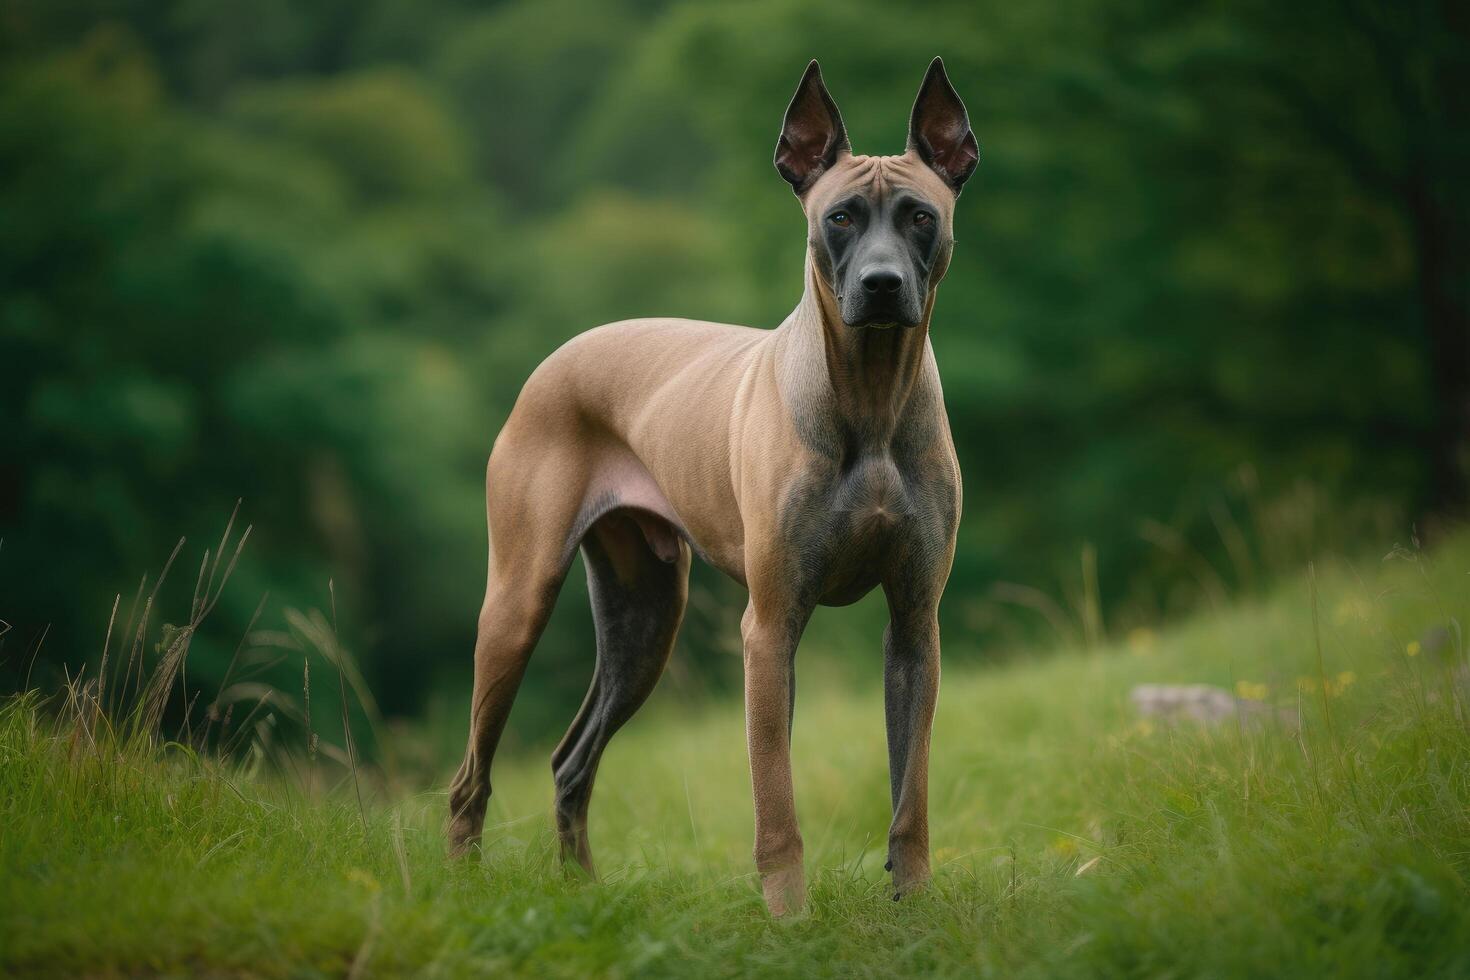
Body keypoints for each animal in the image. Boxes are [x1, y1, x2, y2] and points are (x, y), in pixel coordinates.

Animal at [446, 57, 976, 916]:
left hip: (644, 618)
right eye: (840, 218)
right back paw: (463, 885)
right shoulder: (770, 628)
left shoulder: (915, 625)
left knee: (571, 759)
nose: (882, 285)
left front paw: (917, 909)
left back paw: (583, 889)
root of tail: (556, 356)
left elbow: (911, 799)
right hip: (518, 604)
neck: (869, 398)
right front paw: (790, 918)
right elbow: (776, 800)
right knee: (471, 775)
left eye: (920, 216)